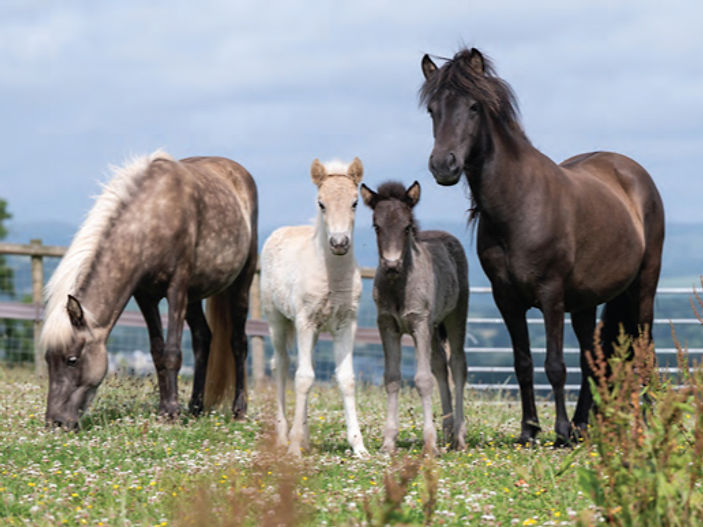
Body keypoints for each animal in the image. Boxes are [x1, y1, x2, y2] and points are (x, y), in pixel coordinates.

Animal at [41, 151, 258, 428]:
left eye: (72, 360)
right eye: (48, 359)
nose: (55, 423)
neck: (152, 218)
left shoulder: (177, 289)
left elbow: (172, 352)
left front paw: (172, 413)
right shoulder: (145, 296)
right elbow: (158, 353)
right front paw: (165, 409)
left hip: (241, 282)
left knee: (238, 342)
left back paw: (239, 410)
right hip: (195, 296)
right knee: (202, 338)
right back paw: (195, 408)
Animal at [260, 157, 368, 458]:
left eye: (355, 202)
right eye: (321, 203)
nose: (339, 243)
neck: (332, 276)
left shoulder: (346, 323)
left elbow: (346, 379)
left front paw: (359, 446)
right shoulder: (304, 320)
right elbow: (304, 378)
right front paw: (294, 448)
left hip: (315, 329)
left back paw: (305, 437)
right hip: (277, 320)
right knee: (282, 365)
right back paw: (284, 435)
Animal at [361, 180, 469, 454]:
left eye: (407, 226)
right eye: (376, 226)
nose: (391, 265)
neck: (399, 288)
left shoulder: (420, 323)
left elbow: (422, 380)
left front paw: (429, 443)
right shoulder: (387, 325)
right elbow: (391, 378)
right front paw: (388, 442)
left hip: (455, 315)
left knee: (457, 365)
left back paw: (459, 436)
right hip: (433, 326)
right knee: (440, 364)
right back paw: (447, 432)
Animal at [420, 48, 665, 445]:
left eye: (474, 106)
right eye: (432, 109)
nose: (444, 165)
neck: (519, 204)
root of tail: (631, 172)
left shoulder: (551, 296)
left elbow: (554, 365)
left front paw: (560, 432)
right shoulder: (506, 299)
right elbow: (523, 363)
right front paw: (529, 430)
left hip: (644, 287)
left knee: (644, 352)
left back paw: (646, 423)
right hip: (586, 302)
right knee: (591, 358)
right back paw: (584, 426)